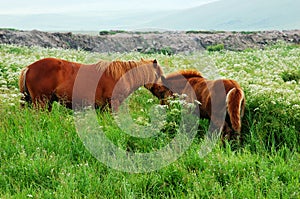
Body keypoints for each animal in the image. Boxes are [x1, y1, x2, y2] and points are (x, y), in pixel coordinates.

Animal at [19, 57, 164, 110]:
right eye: (160, 75)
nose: (166, 95)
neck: (122, 76)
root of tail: (29, 68)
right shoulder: (113, 105)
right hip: (41, 102)